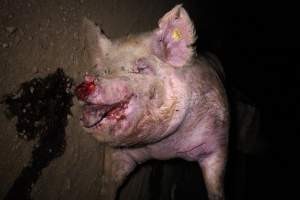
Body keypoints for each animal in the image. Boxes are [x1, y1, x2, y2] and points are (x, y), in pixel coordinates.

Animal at [75, 4, 230, 200]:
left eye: (142, 68)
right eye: (103, 71)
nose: (84, 86)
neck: (164, 149)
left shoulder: (218, 141)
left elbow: (215, 182)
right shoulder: (119, 154)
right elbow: (110, 181)